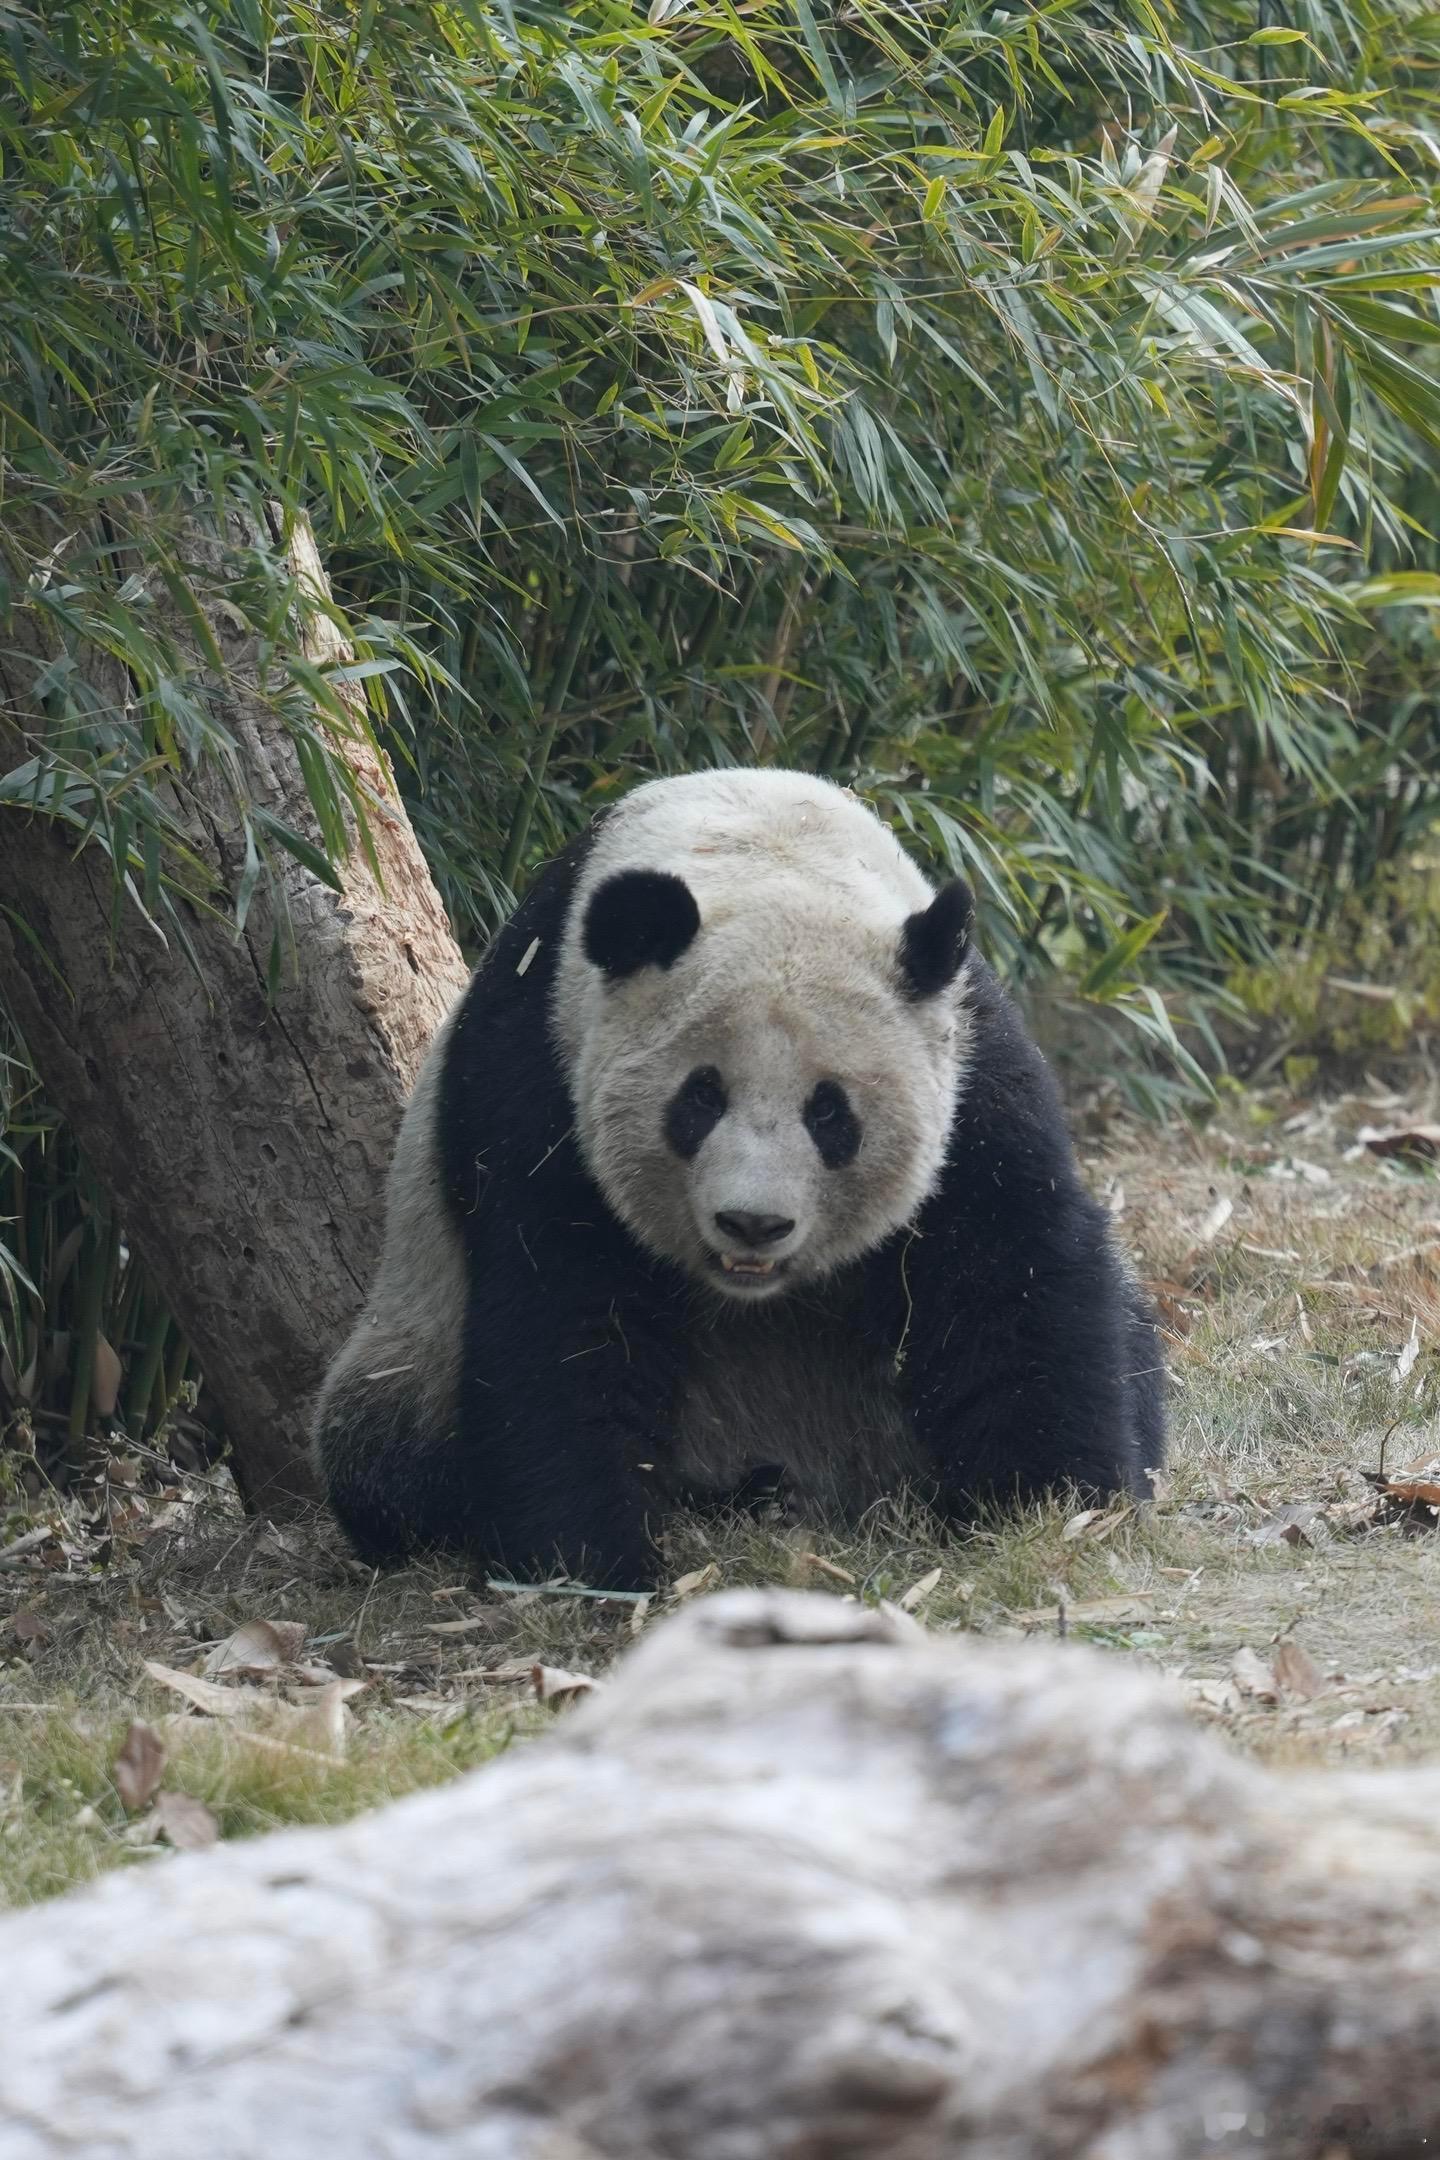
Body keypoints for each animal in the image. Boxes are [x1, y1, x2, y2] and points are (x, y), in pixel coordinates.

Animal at [313, 773, 1157, 1589]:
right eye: (700, 1098)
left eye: (830, 1113)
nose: (754, 1224)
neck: (760, 838)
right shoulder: (538, 1063)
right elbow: (559, 1313)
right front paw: (585, 1564)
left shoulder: (971, 1060)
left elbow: (1009, 1273)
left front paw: (1053, 1505)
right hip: (411, 1349)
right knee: (378, 1450)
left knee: (1135, 1337)